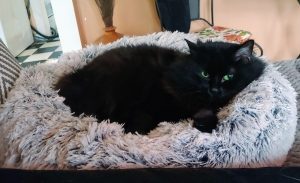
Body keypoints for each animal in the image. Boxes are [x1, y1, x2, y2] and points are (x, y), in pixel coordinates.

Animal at [55, 39, 266, 134]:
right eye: (204, 74)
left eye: (228, 76)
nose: (214, 89)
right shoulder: (147, 106)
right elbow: (142, 122)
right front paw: (131, 133)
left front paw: (205, 125)